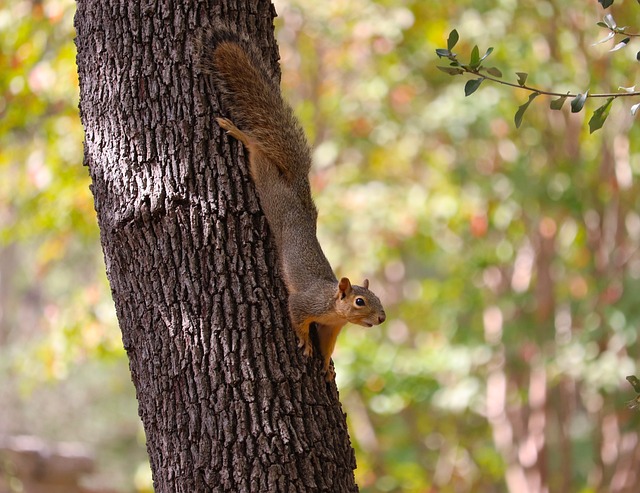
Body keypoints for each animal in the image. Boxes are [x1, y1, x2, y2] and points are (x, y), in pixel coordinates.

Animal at [201, 26, 384, 380]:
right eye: (360, 301)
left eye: (377, 297)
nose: (382, 318)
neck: (333, 308)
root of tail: (300, 196)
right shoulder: (305, 304)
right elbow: (297, 318)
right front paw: (305, 344)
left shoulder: (332, 327)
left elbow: (328, 344)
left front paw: (325, 363)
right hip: (273, 194)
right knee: (258, 154)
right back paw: (240, 134)